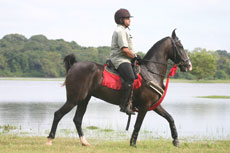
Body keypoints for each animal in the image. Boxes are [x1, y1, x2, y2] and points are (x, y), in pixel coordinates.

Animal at [45, 29, 191, 147]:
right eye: (180, 46)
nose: (188, 65)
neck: (151, 71)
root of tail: (74, 66)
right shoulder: (144, 106)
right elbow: (138, 125)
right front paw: (133, 144)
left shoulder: (154, 105)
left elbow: (170, 118)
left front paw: (176, 141)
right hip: (74, 99)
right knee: (58, 114)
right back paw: (50, 140)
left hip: (84, 99)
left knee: (77, 119)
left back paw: (84, 142)